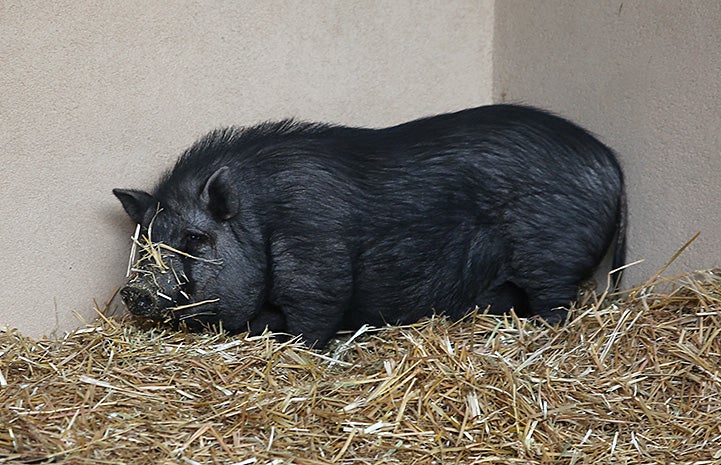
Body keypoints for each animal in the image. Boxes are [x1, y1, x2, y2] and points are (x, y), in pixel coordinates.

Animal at [113, 104, 626, 348]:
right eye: (146, 239)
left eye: (195, 238)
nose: (134, 291)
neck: (262, 218)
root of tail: (608, 160)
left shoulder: (316, 258)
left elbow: (314, 316)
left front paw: (297, 347)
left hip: (551, 254)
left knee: (557, 301)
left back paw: (543, 330)